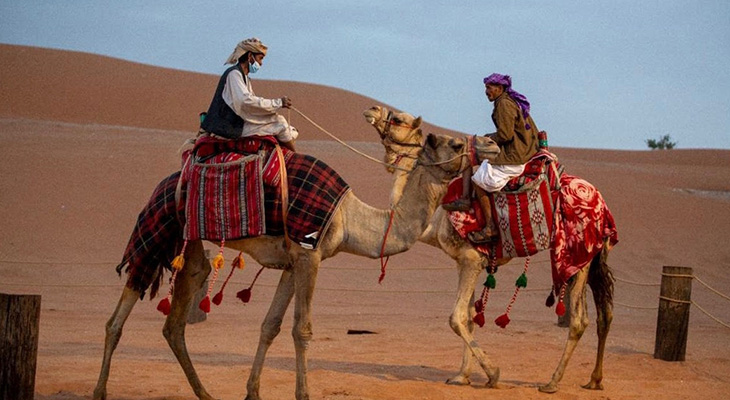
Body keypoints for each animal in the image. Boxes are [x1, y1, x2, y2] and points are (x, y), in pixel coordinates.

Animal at [93, 131, 497, 400]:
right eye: (455, 144)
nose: (492, 145)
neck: (349, 218)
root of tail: (161, 185)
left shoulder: (291, 263)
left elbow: (269, 326)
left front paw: (252, 392)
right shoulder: (309, 253)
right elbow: (301, 330)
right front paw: (303, 394)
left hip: (187, 245)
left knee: (175, 321)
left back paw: (205, 393)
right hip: (157, 228)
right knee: (118, 318)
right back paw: (100, 391)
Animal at [363, 105, 616, 393]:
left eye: (397, 119)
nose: (373, 109)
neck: (436, 217)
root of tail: (600, 202)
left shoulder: (470, 259)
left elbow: (457, 317)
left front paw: (492, 374)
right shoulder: (465, 262)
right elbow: (470, 317)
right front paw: (461, 376)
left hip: (576, 254)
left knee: (579, 320)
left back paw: (552, 382)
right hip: (592, 256)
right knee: (604, 314)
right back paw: (594, 379)